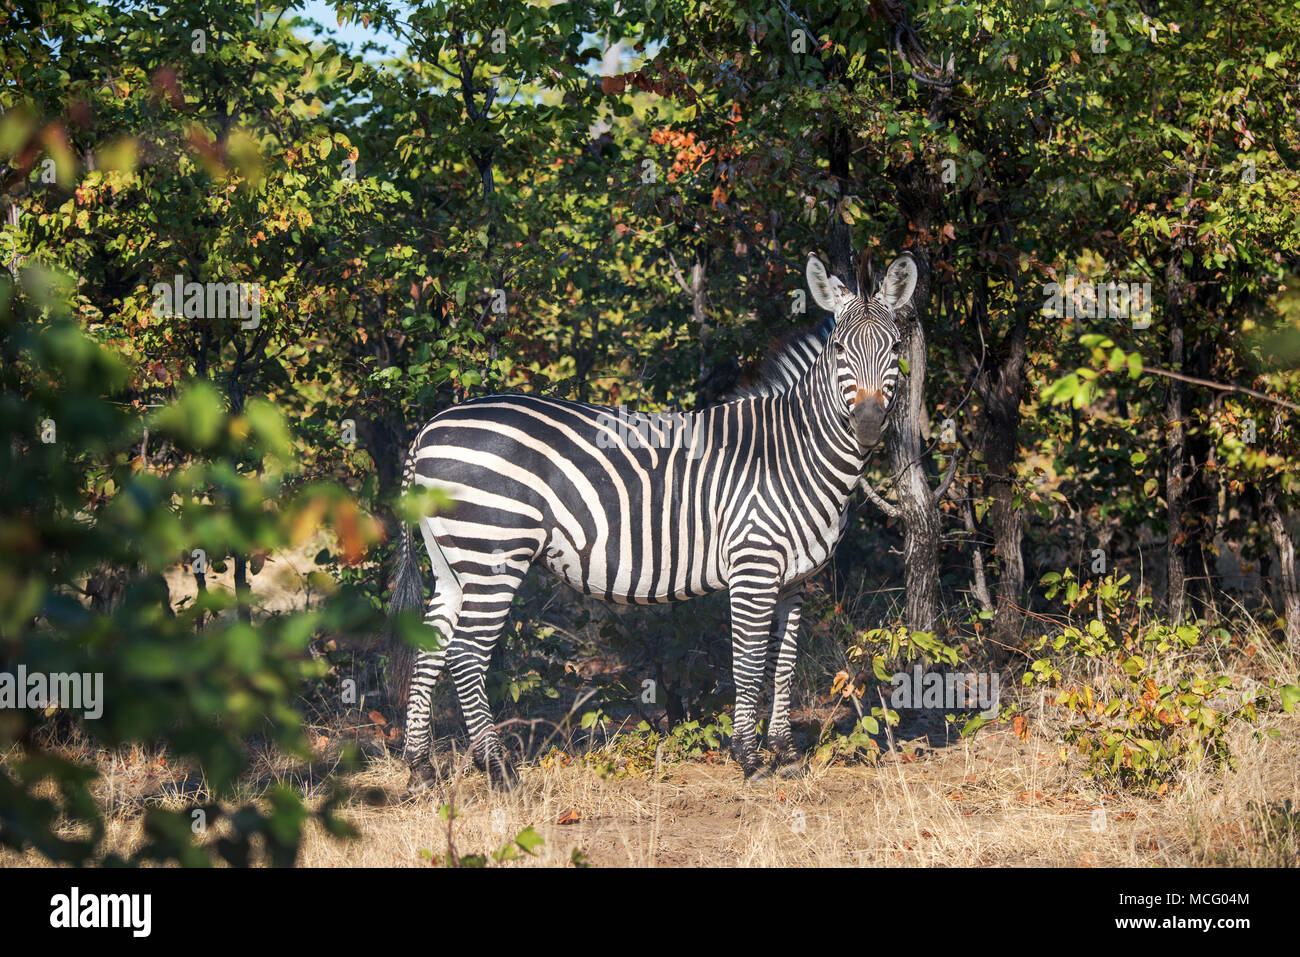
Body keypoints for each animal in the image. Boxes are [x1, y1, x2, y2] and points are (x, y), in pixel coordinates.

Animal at [382, 250, 915, 790]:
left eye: (895, 347)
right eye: (840, 350)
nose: (869, 424)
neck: (793, 452)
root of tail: (429, 427)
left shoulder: (795, 580)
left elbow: (783, 664)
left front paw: (784, 753)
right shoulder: (753, 565)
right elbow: (748, 662)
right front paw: (749, 759)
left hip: (453, 561)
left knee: (432, 648)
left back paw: (421, 769)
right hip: (494, 552)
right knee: (466, 654)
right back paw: (497, 768)